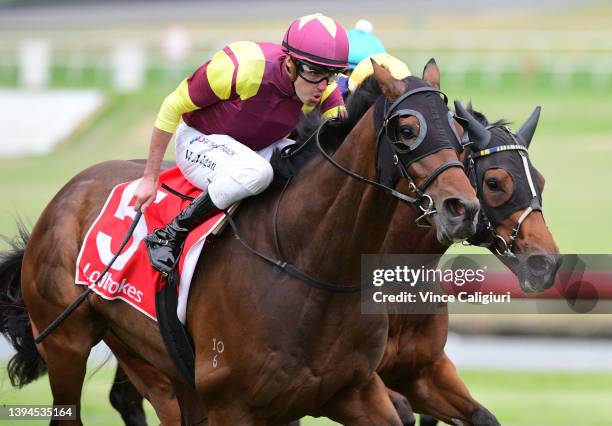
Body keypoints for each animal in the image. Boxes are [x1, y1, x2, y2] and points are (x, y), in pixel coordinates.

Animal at [0, 61, 478, 424]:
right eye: (406, 128)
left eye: (457, 133)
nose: (462, 207)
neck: (310, 263)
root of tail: (69, 191)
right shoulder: (233, 404)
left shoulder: (352, 390)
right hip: (65, 342)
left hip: (146, 357)